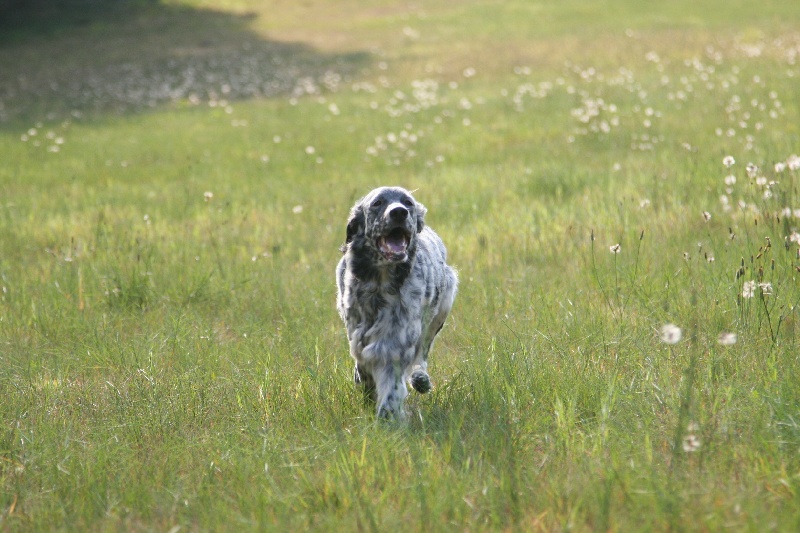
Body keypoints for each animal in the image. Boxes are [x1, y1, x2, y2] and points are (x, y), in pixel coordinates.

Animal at [334, 187, 456, 420]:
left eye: (408, 202)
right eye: (377, 203)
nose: (399, 212)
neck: (380, 282)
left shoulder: (394, 342)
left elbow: (391, 383)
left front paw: (387, 416)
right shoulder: (357, 333)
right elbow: (362, 366)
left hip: (441, 309)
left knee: (422, 353)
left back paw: (420, 378)